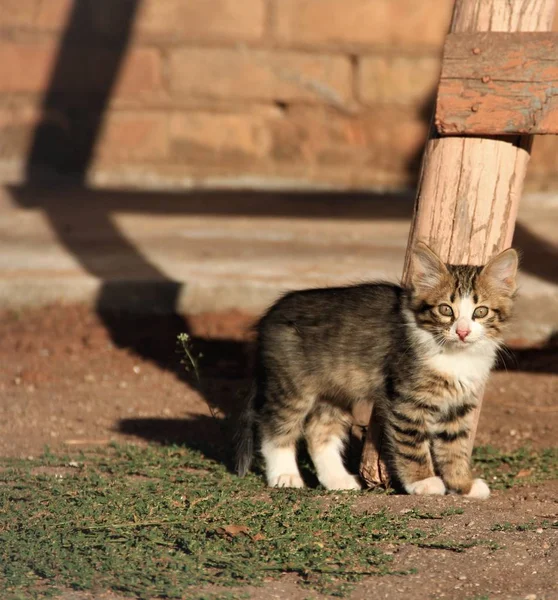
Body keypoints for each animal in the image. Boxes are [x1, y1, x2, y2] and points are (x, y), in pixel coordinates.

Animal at [236, 241, 520, 500]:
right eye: (445, 310)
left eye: (480, 312)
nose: (462, 332)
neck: (456, 356)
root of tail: (269, 316)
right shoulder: (406, 400)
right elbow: (412, 446)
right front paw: (423, 481)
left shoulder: (458, 406)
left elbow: (455, 450)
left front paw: (464, 485)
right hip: (292, 386)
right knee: (274, 425)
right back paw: (285, 475)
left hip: (334, 390)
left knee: (319, 432)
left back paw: (337, 479)